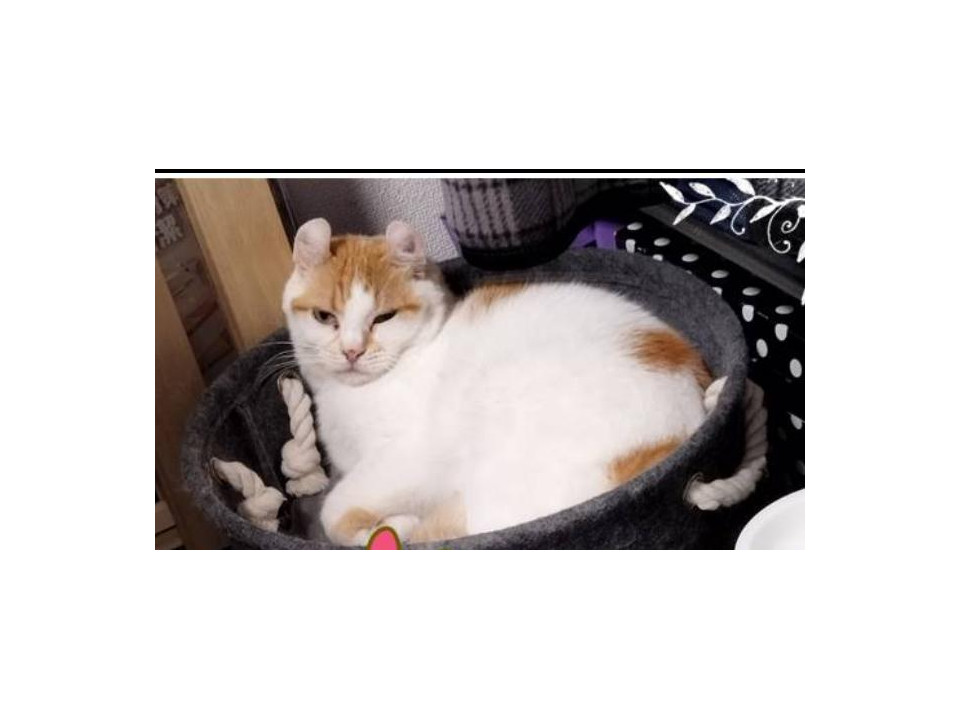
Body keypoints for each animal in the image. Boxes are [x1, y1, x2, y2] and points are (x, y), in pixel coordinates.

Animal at [282, 218, 711, 546]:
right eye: (324, 317)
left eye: (384, 318)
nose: (352, 351)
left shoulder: (411, 455)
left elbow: (334, 510)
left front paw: (382, 527)